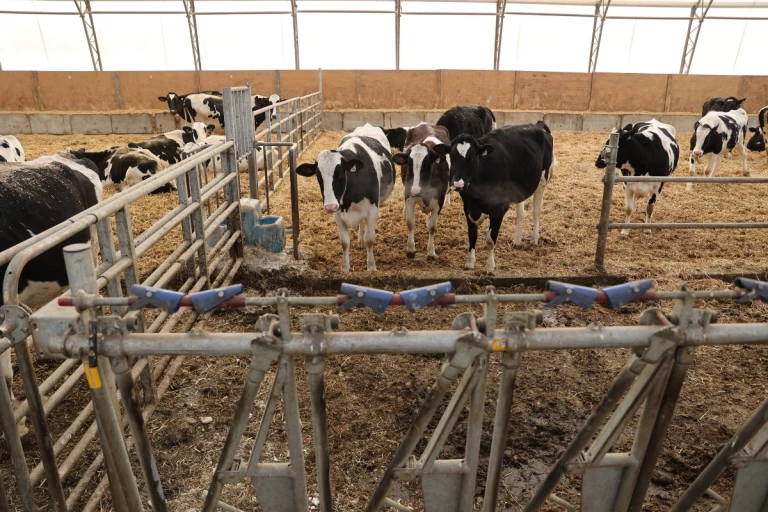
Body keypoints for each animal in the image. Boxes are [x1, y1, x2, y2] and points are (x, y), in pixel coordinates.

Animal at [296, 124, 394, 272]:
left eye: (340, 174)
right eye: (318, 176)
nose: (330, 206)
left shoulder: (372, 209)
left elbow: (370, 239)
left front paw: (371, 267)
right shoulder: (338, 213)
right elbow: (345, 242)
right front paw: (345, 268)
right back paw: (360, 238)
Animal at [392, 124, 451, 261]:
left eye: (428, 165)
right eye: (409, 164)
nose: (416, 190)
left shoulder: (439, 200)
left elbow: (432, 226)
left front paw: (431, 252)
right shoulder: (409, 195)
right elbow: (410, 223)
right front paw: (411, 250)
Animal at [449, 121, 554, 272]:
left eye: (473, 157)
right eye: (452, 157)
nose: (458, 184)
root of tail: (536, 125)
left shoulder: (498, 210)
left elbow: (490, 239)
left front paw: (490, 267)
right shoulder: (468, 208)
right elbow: (472, 235)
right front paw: (469, 263)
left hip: (542, 180)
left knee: (536, 211)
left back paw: (534, 239)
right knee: (521, 213)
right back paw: (517, 241)